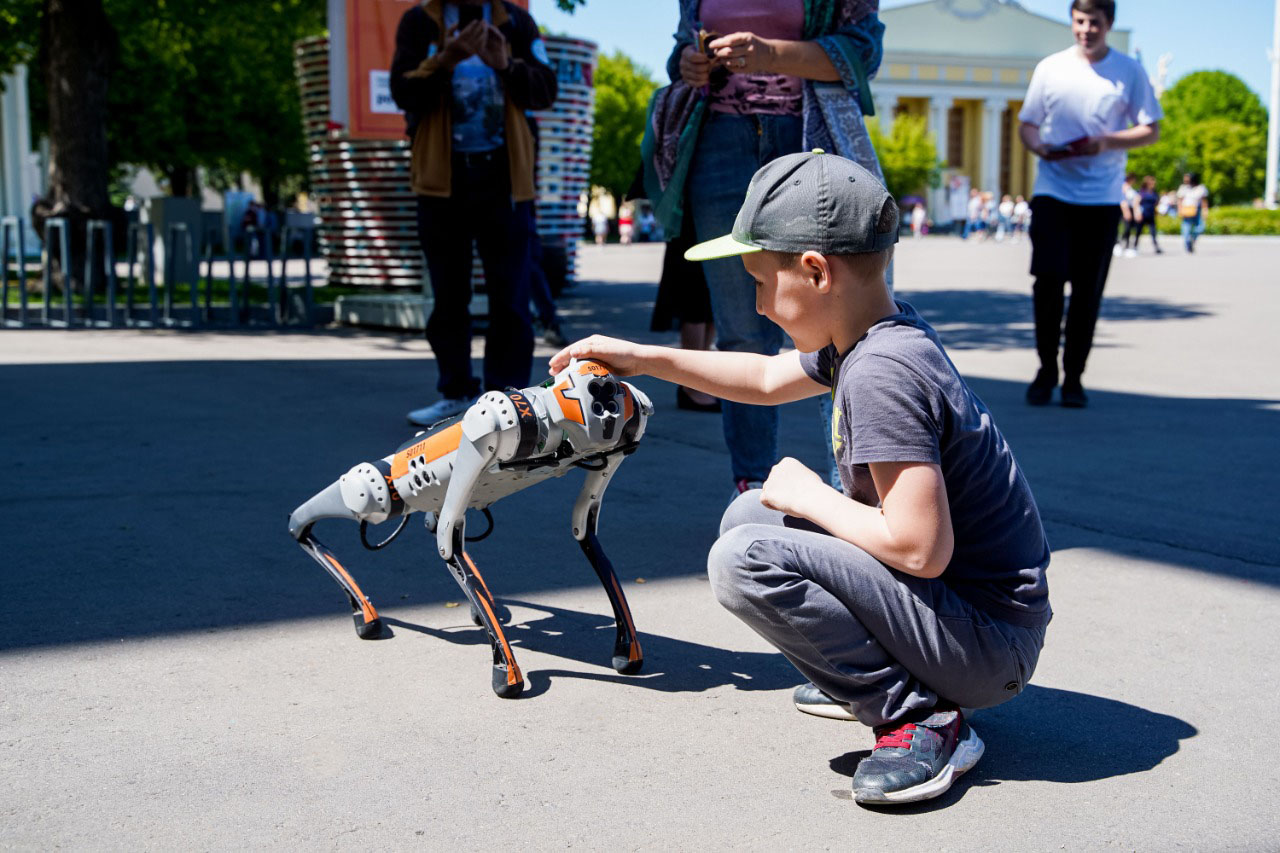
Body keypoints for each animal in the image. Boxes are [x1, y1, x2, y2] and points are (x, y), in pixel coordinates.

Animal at [286, 358, 655, 696]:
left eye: (612, 402)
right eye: (594, 401)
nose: (605, 393)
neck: (544, 410)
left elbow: (584, 530)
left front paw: (627, 650)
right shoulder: (489, 428)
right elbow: (448, 546)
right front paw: (506, 674)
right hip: (385, 490)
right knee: (361, 492)